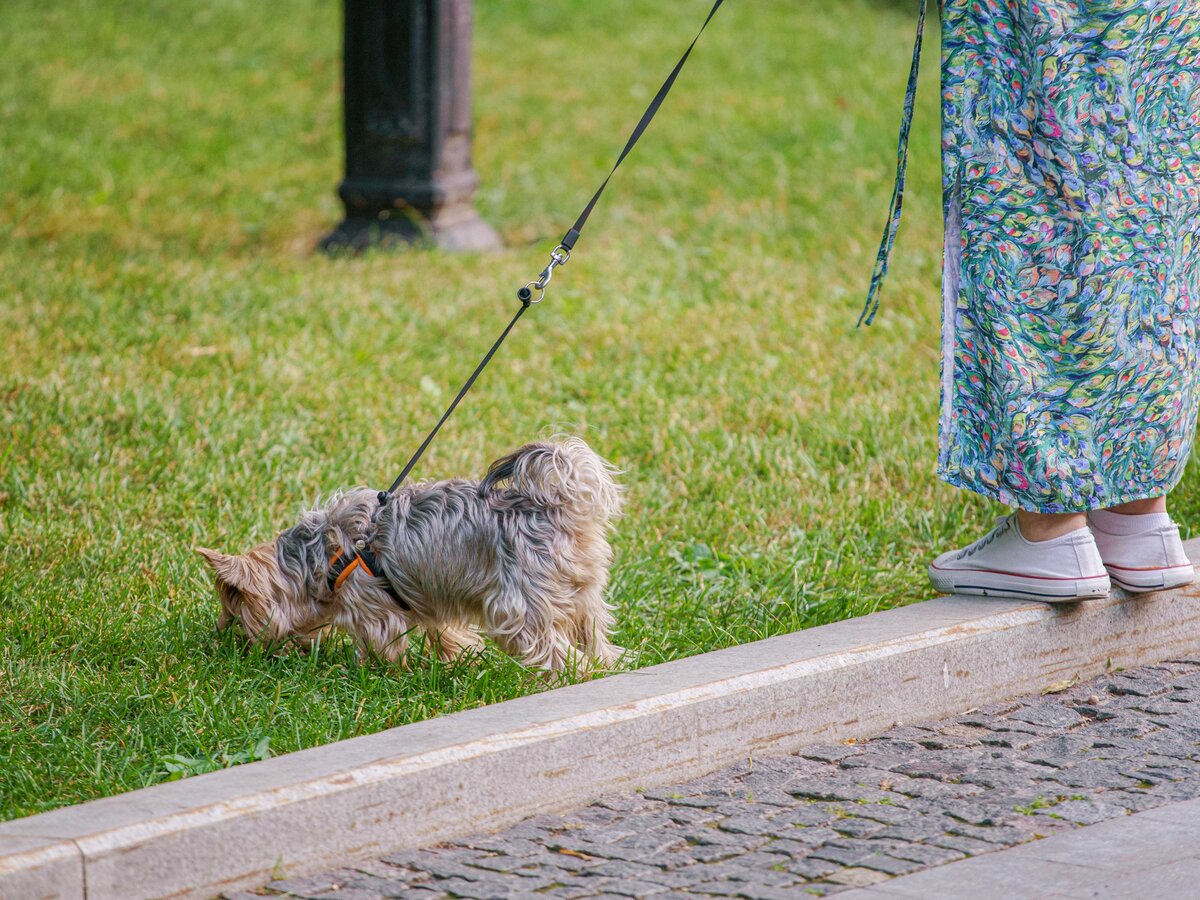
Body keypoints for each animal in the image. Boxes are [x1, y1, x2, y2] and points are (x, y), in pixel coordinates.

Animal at [198, 441, 624, 672]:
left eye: (236, 616)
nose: (227, 643)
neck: (314, 557)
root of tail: (559, 505)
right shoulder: (428, 598)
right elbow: (448, 634)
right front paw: (460, 658)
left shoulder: (372, 611)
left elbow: (381, 646)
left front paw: (372, 674)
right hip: (582, 594)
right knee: (594, 633)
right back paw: (607, 665)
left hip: (517, 608)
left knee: (552, 649)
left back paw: (574, 676)